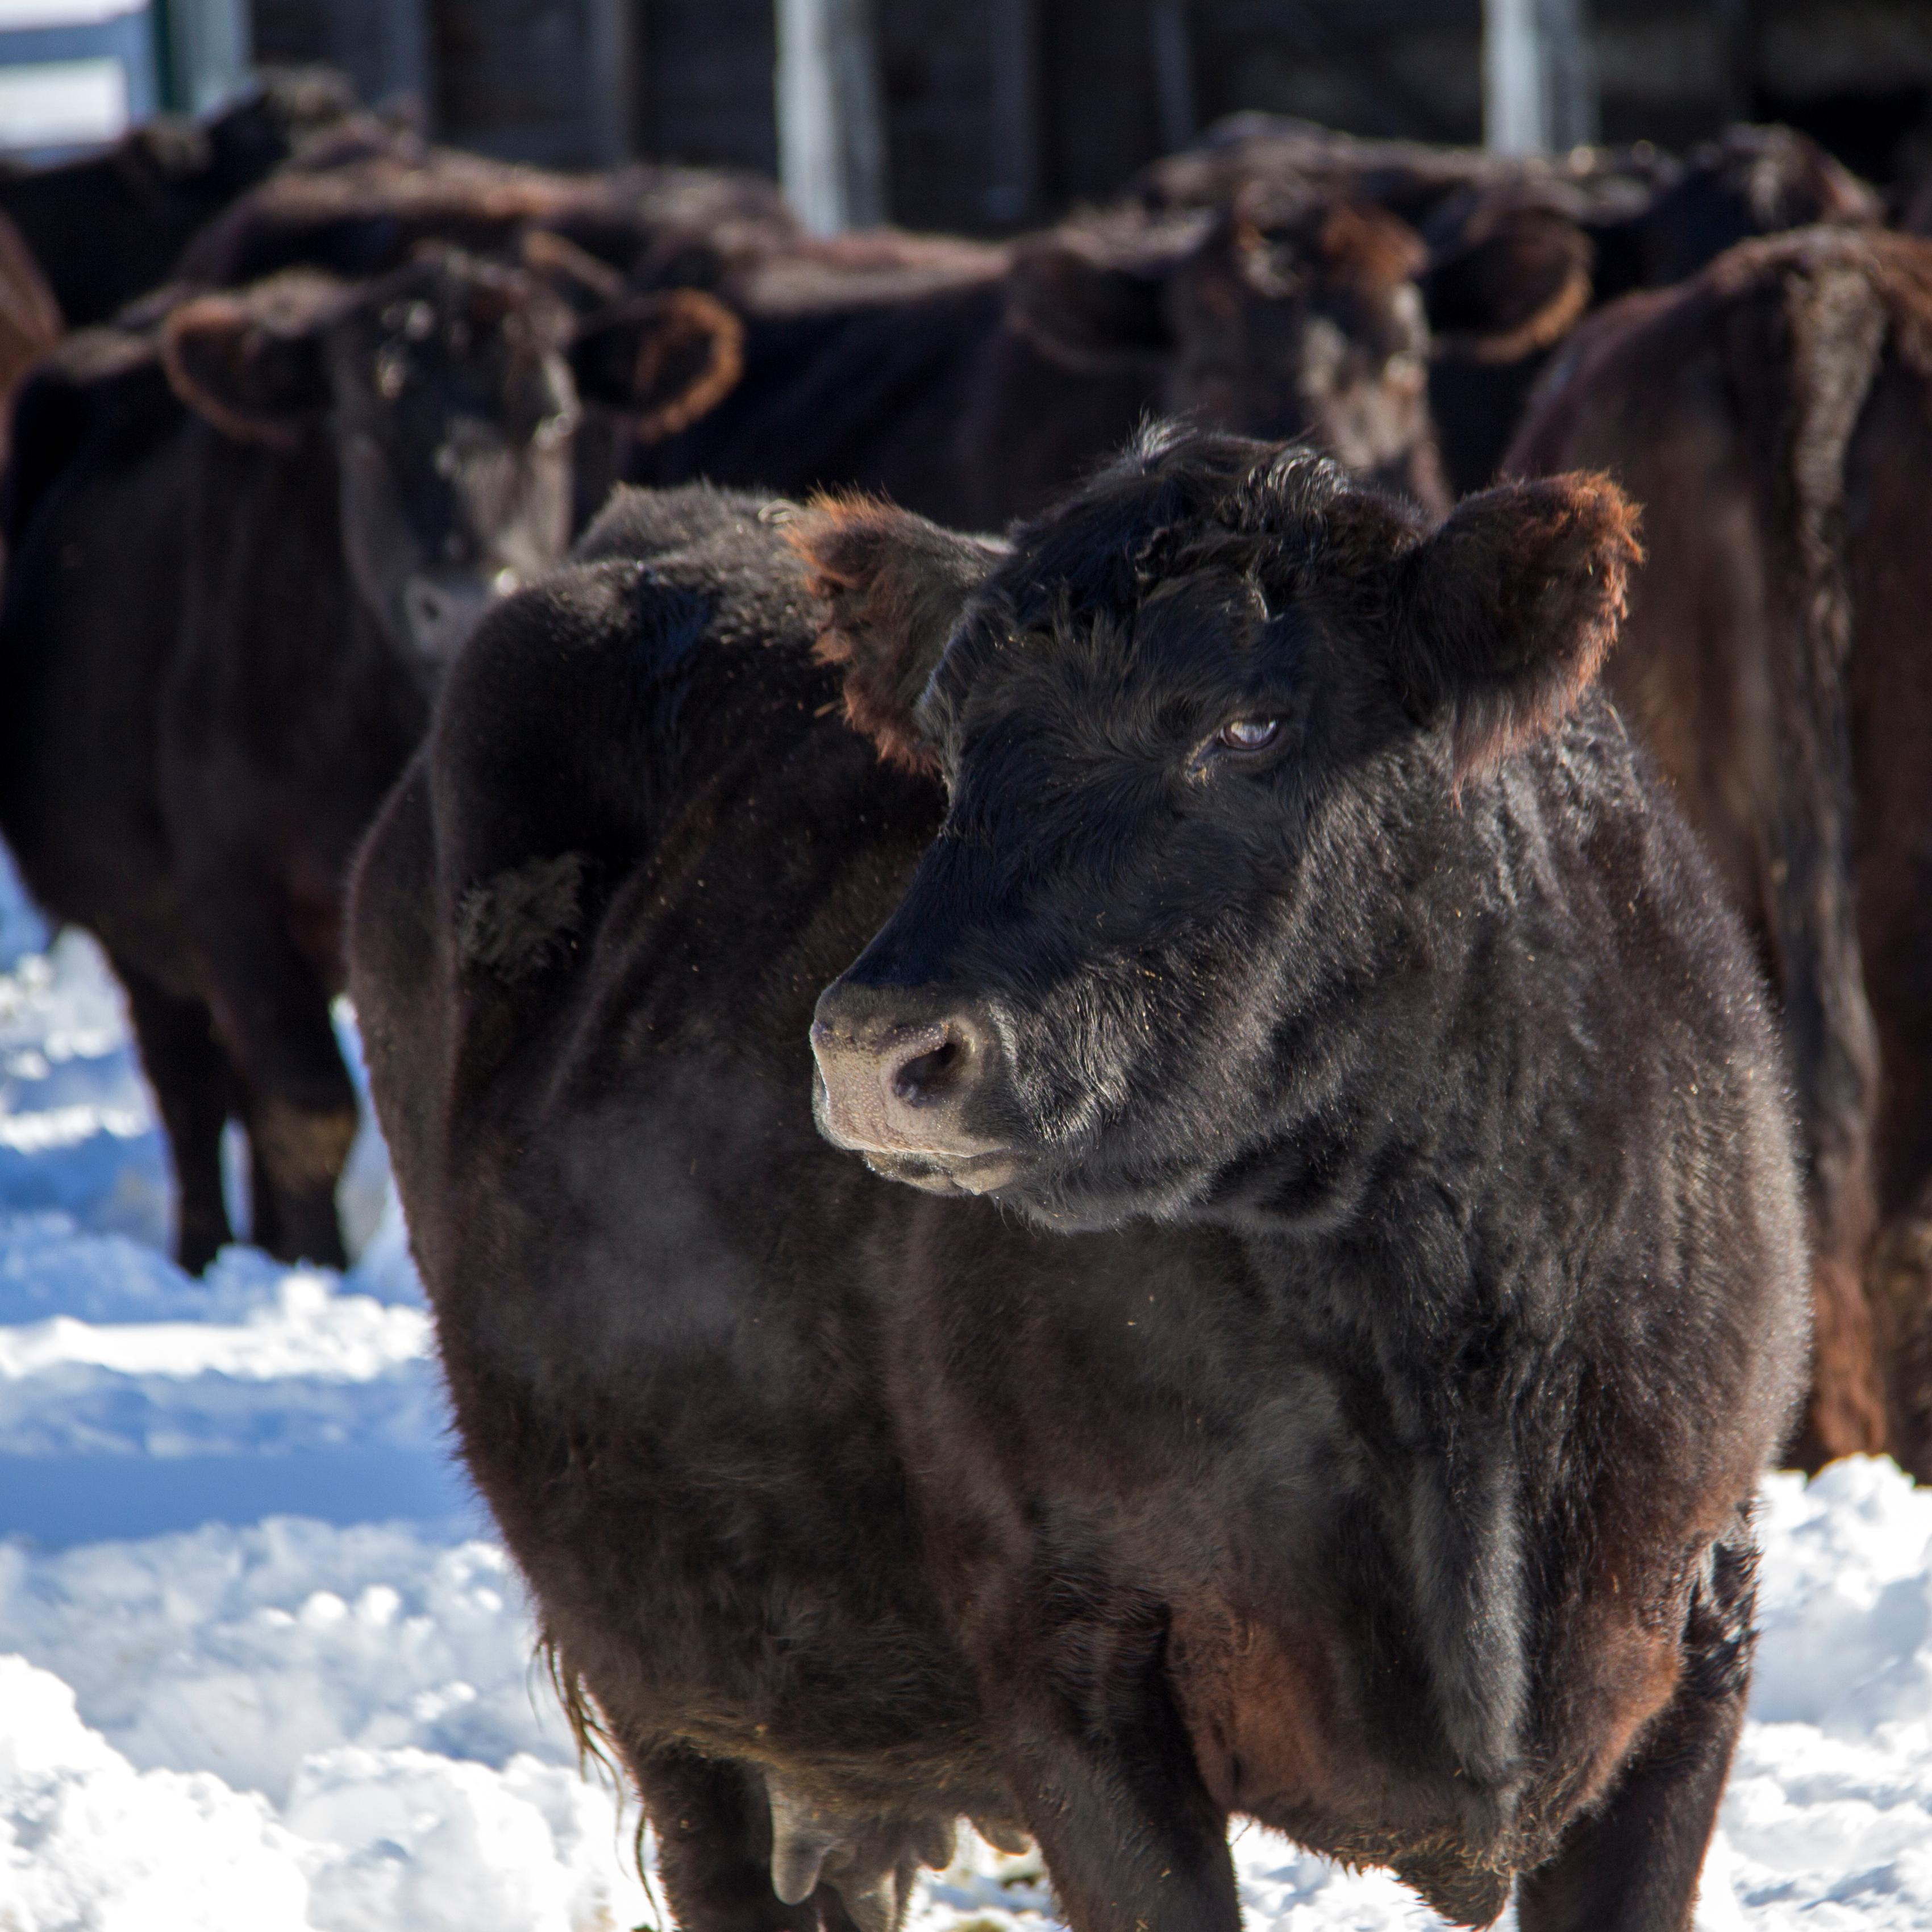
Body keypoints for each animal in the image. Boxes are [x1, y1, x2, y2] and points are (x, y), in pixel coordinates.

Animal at [0, 243, 714, 1272]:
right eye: (364, 438)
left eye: (552, 420)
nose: (463, 597)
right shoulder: (228, 892)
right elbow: (307, 1104)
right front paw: (317, 1266)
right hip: (139, 930)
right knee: (192, 1088)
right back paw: (208, 1251)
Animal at [348, 431, 1807, 1932]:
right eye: (949, 739)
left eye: (1248, 725)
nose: (872, 1044)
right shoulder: (1068, 1660)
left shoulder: (1698, 1624)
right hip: (663, 1673)